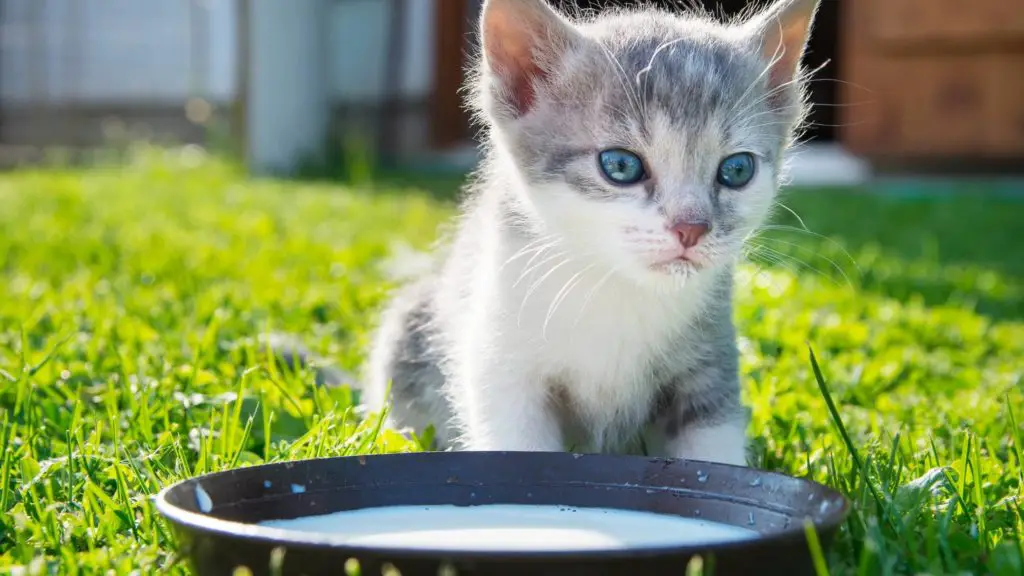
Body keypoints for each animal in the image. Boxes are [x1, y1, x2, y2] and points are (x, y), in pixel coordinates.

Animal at [280, 0, 815, 461]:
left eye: (737, 170)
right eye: (620, 165)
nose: (691, 228)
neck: (614, 287)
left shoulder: (709, 366)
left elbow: (714, 450)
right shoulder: (502, 359)